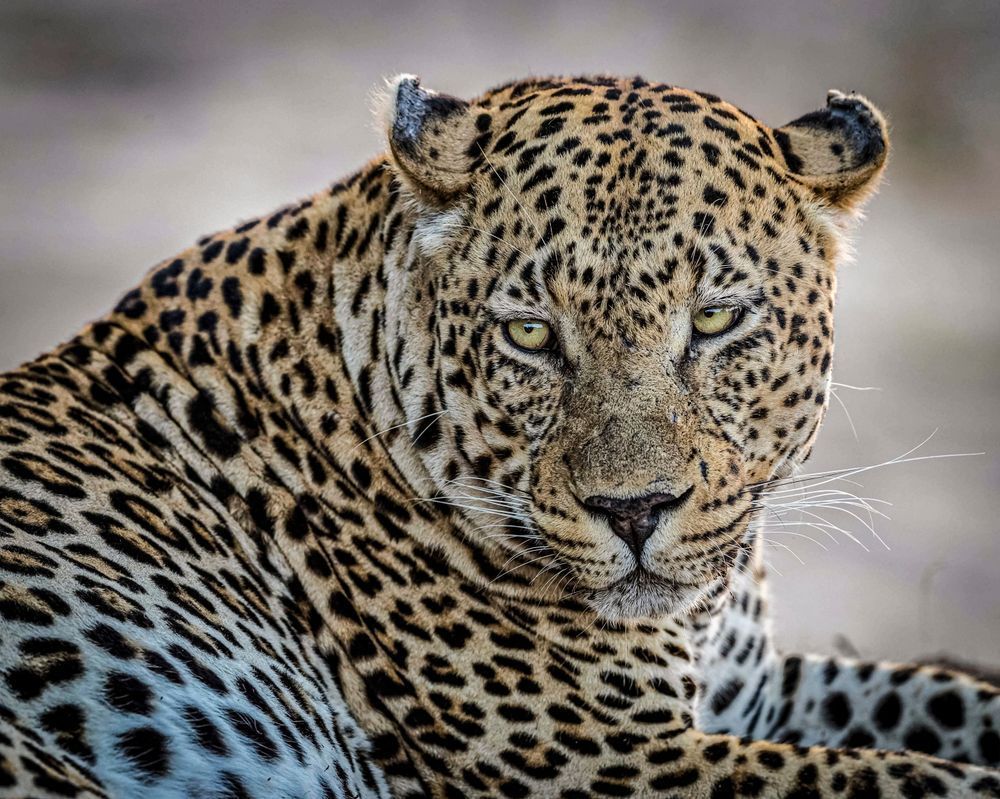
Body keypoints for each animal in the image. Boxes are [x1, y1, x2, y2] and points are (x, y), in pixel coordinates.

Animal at [0, 72, 998, 798]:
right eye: (530, 334)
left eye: (715, 320)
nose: (634, 512)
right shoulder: (616, 759)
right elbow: (905, 777)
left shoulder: (747, 689)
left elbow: (934, 695)